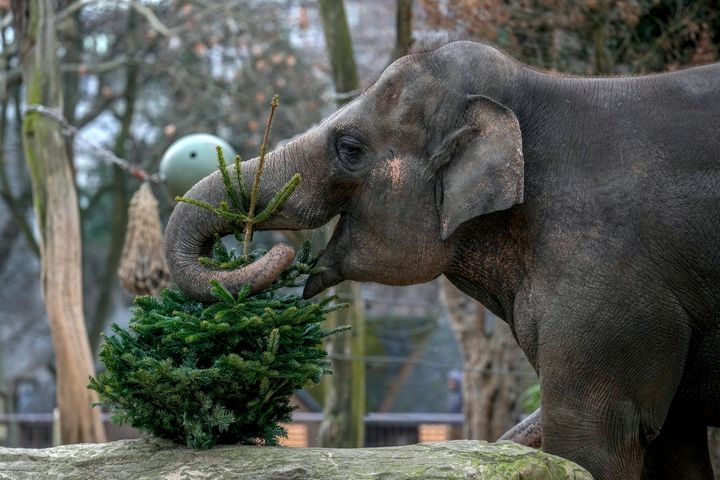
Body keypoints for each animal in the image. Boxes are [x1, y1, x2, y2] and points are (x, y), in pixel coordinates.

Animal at [166, 40, 720, 480]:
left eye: (349, 148)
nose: (280, 252)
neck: (539, 88)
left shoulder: (609, 281)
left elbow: (593, 436)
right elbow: (673, 441)